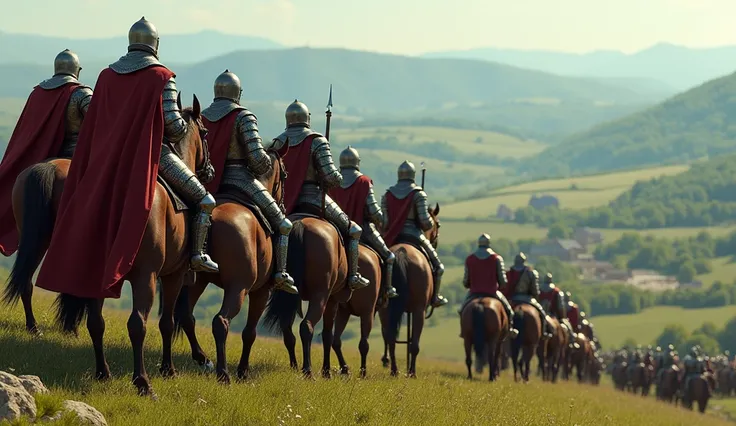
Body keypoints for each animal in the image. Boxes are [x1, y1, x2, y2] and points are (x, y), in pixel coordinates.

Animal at [53, 95, 214, 396]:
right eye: (206, 133)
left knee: (96, 322)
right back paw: (142, 381)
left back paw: (103, 372)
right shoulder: (172, 276)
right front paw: (168, 369)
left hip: (98, 275)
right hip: (145, 277)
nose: (208, 171)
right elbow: (166, 322)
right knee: (137, 323)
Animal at [172, 147, 288, 382]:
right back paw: (223, 373)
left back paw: (204, 359)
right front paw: (243, 371)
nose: (283, 204)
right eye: (285, 175)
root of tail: (212, 218)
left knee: (187, 316)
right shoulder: (261, 291)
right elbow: (250, 332)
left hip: (197, 281)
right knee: (221, 321)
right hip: (238, 288)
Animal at [330, 245, 382, 378]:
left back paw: (345, 369)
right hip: (367, 313)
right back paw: (362, 372)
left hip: (343, 312)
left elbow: (336, 341)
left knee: (336, 341)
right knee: (363, 344)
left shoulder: (343, 312)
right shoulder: (369, 312)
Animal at [376, 205, 440, 378]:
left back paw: (394, 370)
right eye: (437, 224)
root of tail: (401, 252)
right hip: (419, 310)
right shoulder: (418, 309)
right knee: (414, 344)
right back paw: (411, 372)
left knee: (390, 338)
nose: (435, 242)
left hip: (385, 309)